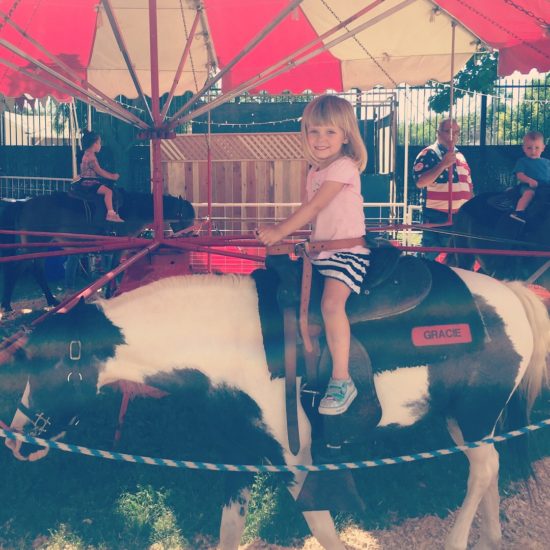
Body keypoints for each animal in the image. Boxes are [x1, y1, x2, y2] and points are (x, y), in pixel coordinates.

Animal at [2, 264, 548, 550]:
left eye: (46, 367)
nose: (18, 438)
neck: (232, 345)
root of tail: (510, 294)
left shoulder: (295, 463)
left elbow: (324, 531)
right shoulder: (238, 460)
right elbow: (230, 532)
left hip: (472, 419)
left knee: (482, 468)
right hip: (467, 421)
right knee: (491, 465)